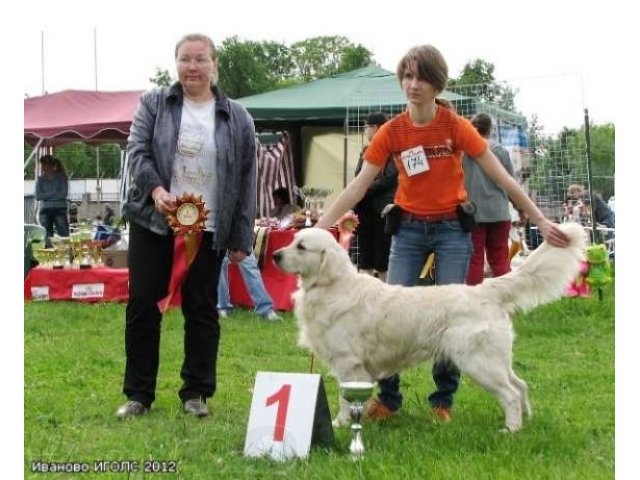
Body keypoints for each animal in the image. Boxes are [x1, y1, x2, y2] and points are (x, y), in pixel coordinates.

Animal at [272, 223, 588, 434]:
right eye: (293, 240)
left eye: (301, 247)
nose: (275, 255)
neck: (333, 286)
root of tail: (483, 289)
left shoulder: (349, 363)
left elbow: (344, 397)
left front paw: (340, 423)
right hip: (496, 359)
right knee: (520, 385)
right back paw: (525, 422)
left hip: (478, 361)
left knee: (509, 393)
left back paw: (509, 430)